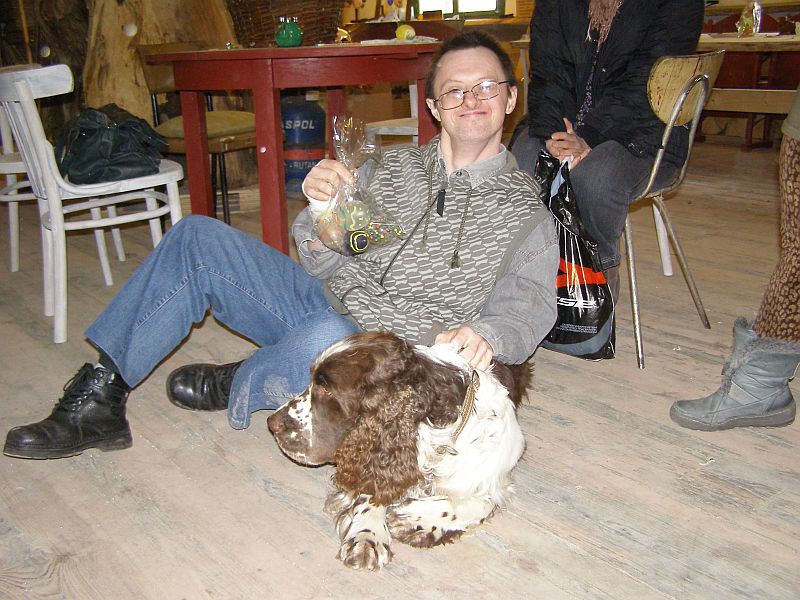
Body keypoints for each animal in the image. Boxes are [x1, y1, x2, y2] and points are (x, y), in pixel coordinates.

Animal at [267, 331, 529, 570]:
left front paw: (411, 517)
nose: (272, 423)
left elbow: (479, 504)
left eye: (327, 389)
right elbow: (373, 488)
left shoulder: (492, 480)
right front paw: (367, 535)